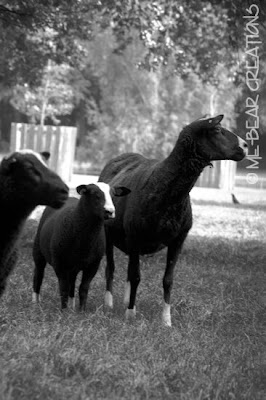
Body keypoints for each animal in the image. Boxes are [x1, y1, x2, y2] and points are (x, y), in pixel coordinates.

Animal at [32, 181, 130, 310]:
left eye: (113, 195)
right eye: (95, 195)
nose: (110, 211)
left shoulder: (93, 265)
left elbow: (83, 288)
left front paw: (81, 310)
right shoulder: (60, 263)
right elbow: (63, 288)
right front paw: (63, 310)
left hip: (74, 266)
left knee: (72, 282)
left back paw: (72, 307)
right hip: (38, 251)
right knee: (38, 275)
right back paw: (35, 303)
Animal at [98, 114, 248, 326]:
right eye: (217, 130)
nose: (245, 145)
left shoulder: (178, 239)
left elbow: (167, 280)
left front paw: (166, 320)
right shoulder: (135, 236)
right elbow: (135, 277)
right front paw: (130, 315)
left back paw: (127, 300)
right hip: (109, 233)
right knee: (111, 268)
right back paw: (109, 304)